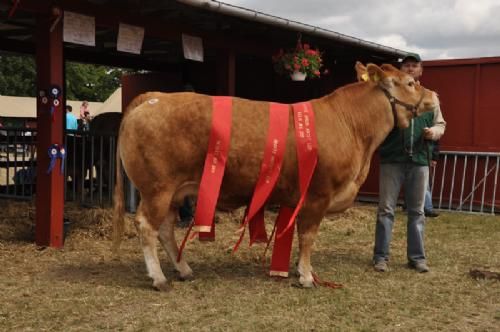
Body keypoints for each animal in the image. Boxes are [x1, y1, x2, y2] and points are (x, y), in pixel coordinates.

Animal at [112, 63, 438, 290]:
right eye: (411, 82)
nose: (434, 96)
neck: (352, 128)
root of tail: (153, 97)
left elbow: (297, 236)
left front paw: (298, 269)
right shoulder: (319, 194)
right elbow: (308, 236)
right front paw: (306, 276)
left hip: (174, 192)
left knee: (165, 229)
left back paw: (183, 269)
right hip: (158, 189)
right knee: (147, 226)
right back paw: (158, 278)